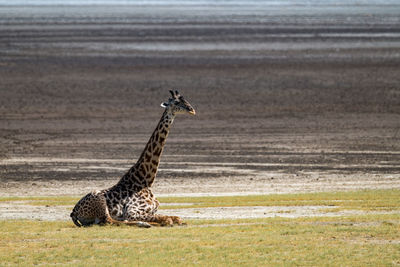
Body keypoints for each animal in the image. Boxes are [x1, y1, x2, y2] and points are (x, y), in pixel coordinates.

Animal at [72, 90, 197, 228]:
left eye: (186, 100)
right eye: (176, 102)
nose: (192, 110)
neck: (145, 181)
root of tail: (74, 212)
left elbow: (176, 218)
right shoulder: (133, 211)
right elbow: (167, 219)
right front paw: (157, 222)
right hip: (100, 200)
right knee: (112, 221)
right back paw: (144, 223)